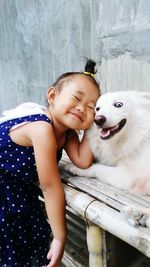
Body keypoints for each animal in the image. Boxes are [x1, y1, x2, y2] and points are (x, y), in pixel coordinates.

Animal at [65, 91, 150, 227]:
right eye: (97, 109)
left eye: (118, 104)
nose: (98, 120)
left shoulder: (131, 176)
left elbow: (96, 168)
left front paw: (75, 168)